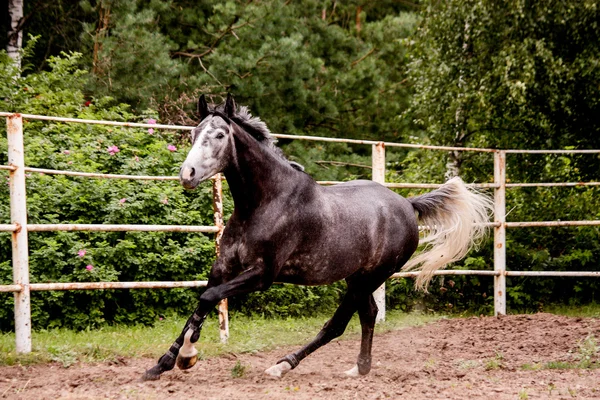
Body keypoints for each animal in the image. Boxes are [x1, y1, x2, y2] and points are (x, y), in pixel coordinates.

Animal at [143, 94, 490, 382]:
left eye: (219, 135)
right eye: (193, 133)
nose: (187, 175)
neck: (264, 202)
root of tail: (408, 204)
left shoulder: (262, 275)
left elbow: (207, 298)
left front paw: (187, 357)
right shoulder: (224, 266)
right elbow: (201, 304)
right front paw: (162, 364)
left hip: (370, 277)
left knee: (338, 324)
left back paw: (282, 365)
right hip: (356, 277)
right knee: (369, 314)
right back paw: (359, 368)